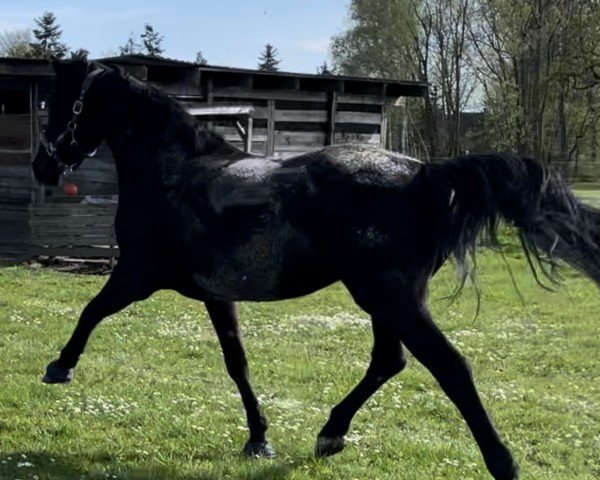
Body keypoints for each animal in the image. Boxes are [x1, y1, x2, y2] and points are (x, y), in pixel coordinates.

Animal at [32, 61, 600, 480]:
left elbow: (91, 311)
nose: (42, 167)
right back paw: (331, 434)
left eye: (60, 104)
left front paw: (59, 367)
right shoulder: (217, 295)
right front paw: (258, 439)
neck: (174, 174)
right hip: (386, 301)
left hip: (388, 297)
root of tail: (425, 175)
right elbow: (237, 363)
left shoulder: (137, 275)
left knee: (449, 367)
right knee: (389, 362)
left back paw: (502, 463)